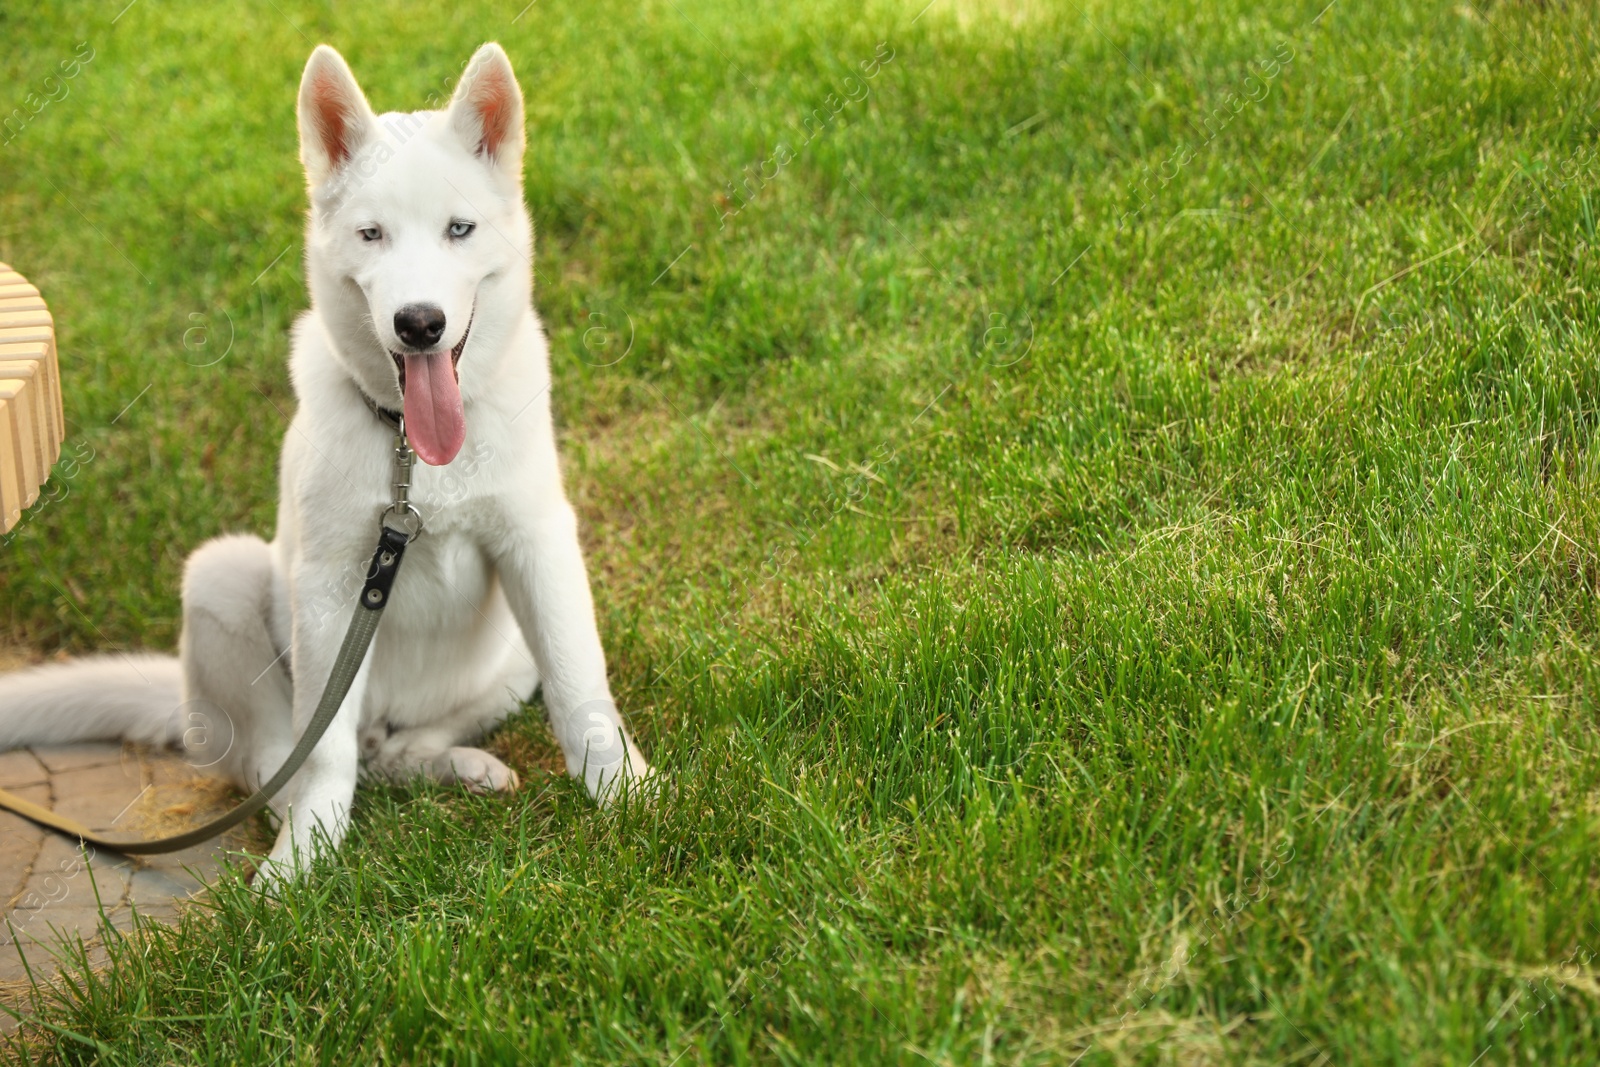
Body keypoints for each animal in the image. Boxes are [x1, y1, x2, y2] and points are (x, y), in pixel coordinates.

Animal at [0, 41, 652, 876]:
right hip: (221, 579)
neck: (415, 452)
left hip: (511, 652)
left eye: (460, 229)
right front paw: (302, 863)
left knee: (396, 749)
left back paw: (457, 764)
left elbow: (582, 690)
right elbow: (322, 754)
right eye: (372, 235)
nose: (419, 324)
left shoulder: (539, 546)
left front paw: (629, 791)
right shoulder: (331, 582)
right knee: (282, 759)